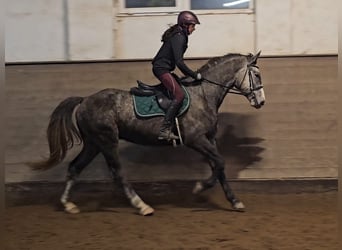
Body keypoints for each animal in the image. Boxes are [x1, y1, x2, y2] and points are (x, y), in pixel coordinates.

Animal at [28, 51, 266, 215]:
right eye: (256, 74)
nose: (261, 102)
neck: (204, 94)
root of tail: (85, 100)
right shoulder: (196, 140)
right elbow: (220, 163)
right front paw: (199, 187)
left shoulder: (209, 139)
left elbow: (220, 167)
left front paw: (235, 201)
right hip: (107, 141)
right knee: (117, 173)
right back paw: (142, 206)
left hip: (93, 143)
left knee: (75, 167)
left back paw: (68, 205)